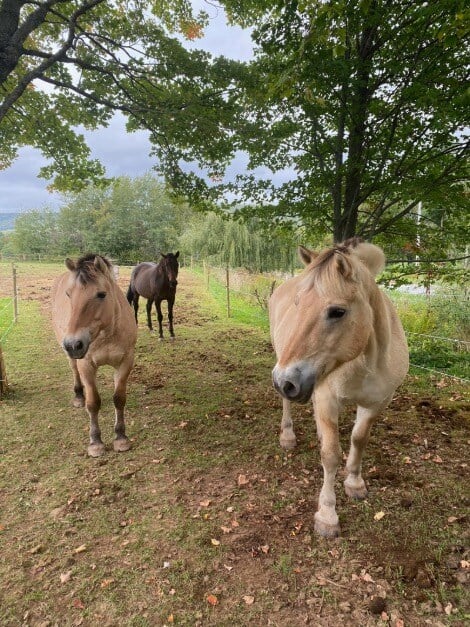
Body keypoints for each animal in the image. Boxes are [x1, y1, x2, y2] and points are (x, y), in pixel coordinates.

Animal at [51, 255, 137, 456]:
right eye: (69, 295)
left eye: (101, 294)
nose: (73, 344)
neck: (105, 335)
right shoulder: (86, 365)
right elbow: (93, 403)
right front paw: (95, 442)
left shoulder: (125, 362)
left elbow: (119, 399)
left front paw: (121, 438)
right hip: (72, 357)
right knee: (74, 371)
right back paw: (78, 396)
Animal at [270, 240, 410, 540]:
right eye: (297, 304)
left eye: (337, 311)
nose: (284, 381)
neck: (367, 361)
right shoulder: (326, 399)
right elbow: (331, 455)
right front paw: (327, 515)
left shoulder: (377, 403)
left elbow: (359, 439)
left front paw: (355, 483)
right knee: (287, 406)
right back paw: (287, 435)